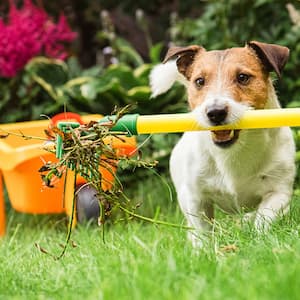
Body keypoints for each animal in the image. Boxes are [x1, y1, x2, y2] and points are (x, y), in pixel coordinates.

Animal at [150, 41, 296, 246]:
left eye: (242, 77)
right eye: (199, 81)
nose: (215, 112)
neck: (234, 152)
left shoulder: (278, 193)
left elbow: (263, 220)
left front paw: (257, 240)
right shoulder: (196, 199)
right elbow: (203, 232)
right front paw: (204, 250)